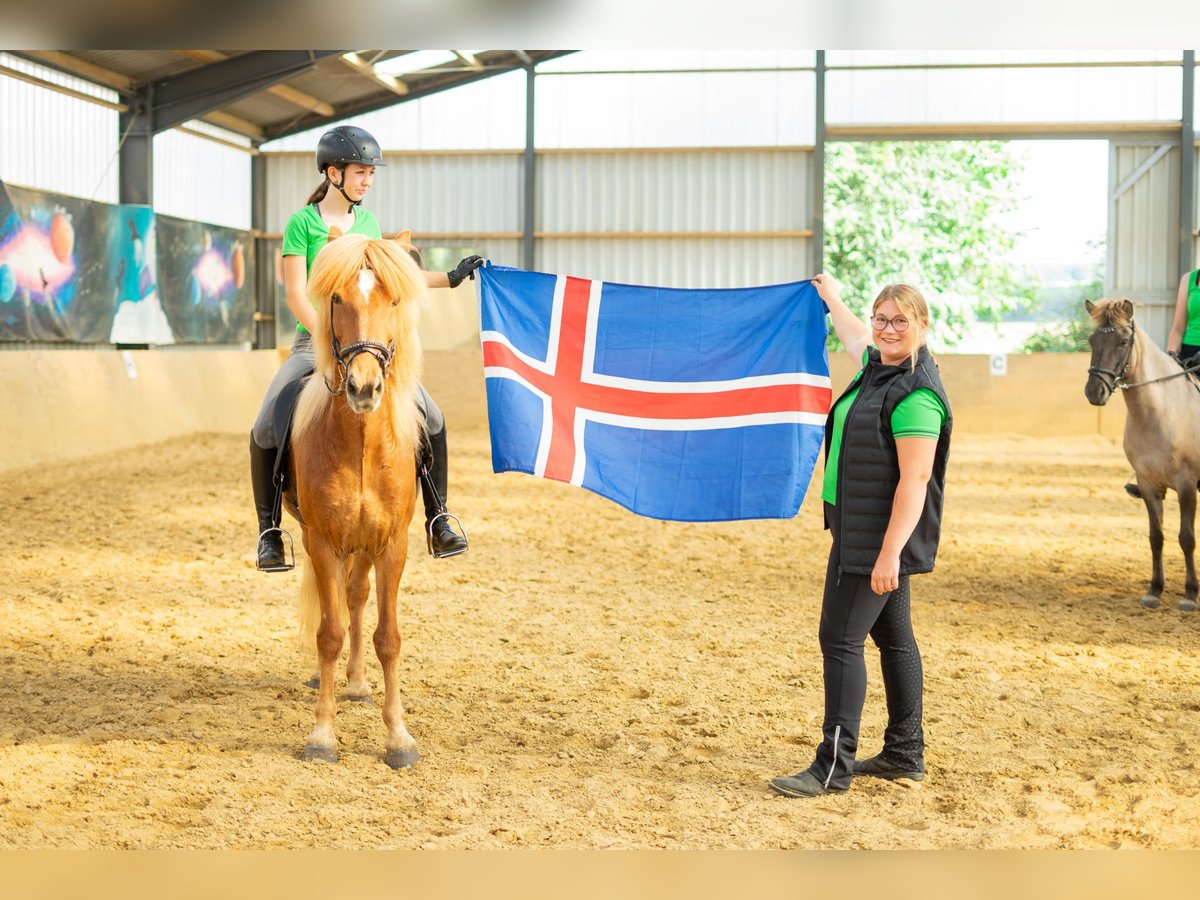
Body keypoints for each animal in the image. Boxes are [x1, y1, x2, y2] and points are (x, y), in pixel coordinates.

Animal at [285, 232, 427, 768]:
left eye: (394, 300)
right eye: (337, 299)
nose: (364, 387)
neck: (362, 445)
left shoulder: (392, 546)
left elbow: (388, 637)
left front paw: (399, 737)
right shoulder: (323, 540)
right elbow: (328, 633)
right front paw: (322, 735)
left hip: (365, 546)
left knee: (356, 597)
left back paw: (359, 682)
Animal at [1089, 300, 1200, 619]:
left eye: (1124, 341)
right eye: (1091, 340)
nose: (1094, 392)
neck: (1161, 413)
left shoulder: (1187, 486)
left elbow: (1187, 538)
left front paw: (1190, 596)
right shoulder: (1149, 485)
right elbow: (1156, 537)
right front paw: (1154, 591)